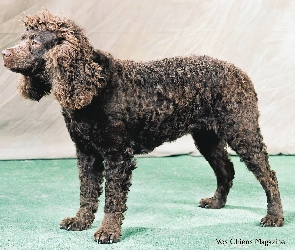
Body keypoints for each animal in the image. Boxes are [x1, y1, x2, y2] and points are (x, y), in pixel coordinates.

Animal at [2, 10, 284, 243]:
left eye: (35, 42)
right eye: (23, 37)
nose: (5, 53)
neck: (94, 84)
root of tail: (240, 73)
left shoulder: (117, 156)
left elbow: (113, 198)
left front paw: (108, 231)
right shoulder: (86, 153)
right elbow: (87, 192)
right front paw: (80, 221)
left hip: (242, 132)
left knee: (268, 175)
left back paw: (275, 216)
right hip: (207, 138)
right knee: (226, 169)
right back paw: (216, 202)